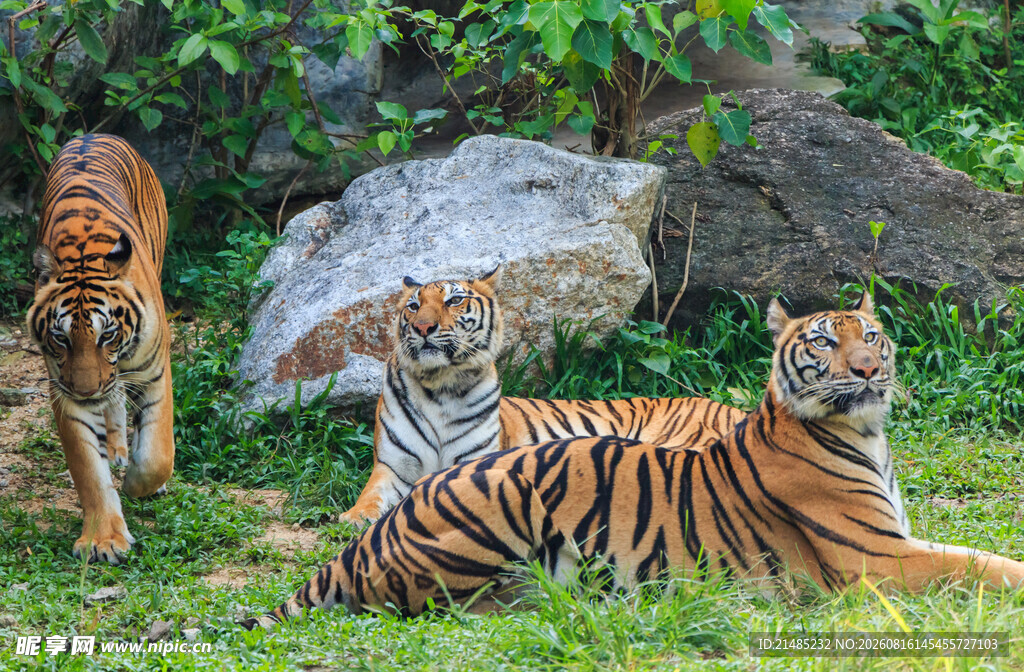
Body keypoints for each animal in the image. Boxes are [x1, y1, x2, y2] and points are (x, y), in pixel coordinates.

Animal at [26, 134, 175, 565]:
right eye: (61, 339)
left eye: (106, 336)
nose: (87, 389)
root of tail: (93, 134)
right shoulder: (64, 391)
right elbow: (89, 470)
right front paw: (104, 539)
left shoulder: (155, 371)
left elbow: (158, 454)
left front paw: (139, 484)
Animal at [243, 294, 1024, 628]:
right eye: (825, 343)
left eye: (872, 335)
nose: (867, 370)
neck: (865, 432)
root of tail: (369, 539)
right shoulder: (878, 561)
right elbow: (982, 565)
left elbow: (978, 557)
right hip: (502, 498)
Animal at [338, 266, 745, 524]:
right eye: (413, 306)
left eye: (454, 301)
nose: (423, 327)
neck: (442, 385)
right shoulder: (392, 467)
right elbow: (369, 496)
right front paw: (354, 518)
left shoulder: (471, 462)